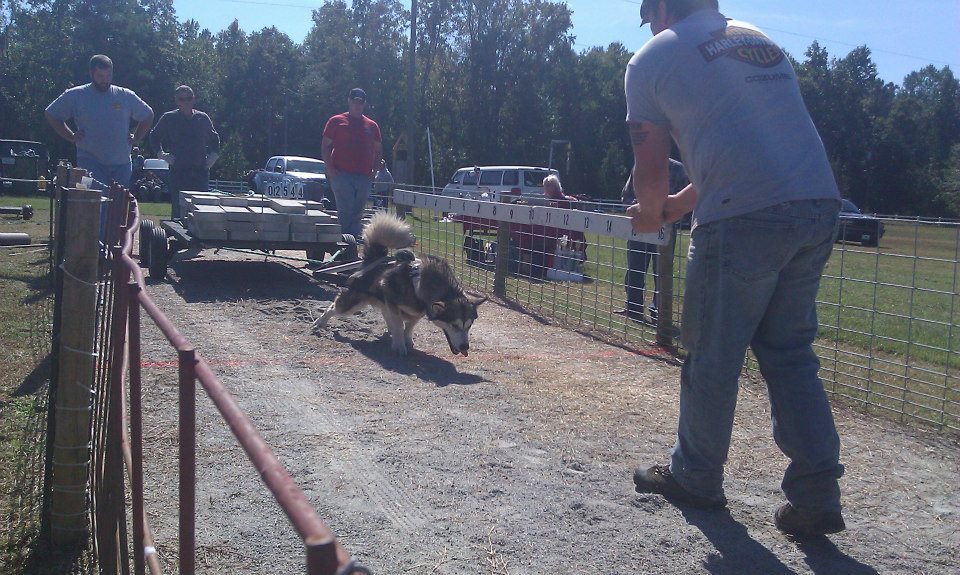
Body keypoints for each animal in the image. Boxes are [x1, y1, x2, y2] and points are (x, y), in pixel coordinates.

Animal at [312, 212, 484, 356]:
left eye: (469, 326)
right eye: (454, 325)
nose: (465, 347)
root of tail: (374, 259)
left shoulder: (417, 312)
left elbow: (408, 327)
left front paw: (406, 339)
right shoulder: (393, 302)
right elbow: (400, 325)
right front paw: (400, 344)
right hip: (352, 303)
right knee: (333, 308)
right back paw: (319, 322)